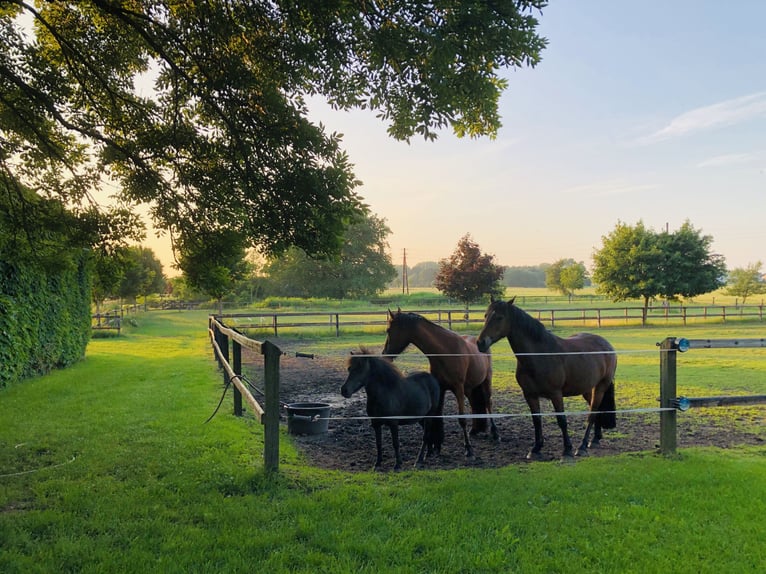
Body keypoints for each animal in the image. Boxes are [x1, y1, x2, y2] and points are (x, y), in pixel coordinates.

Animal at [382, 309, 499, 458]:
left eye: (388, 330)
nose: (385, 354)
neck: (446, 351)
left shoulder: (458, 388)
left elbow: (462, 419)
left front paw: (468, 449)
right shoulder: (441, 388)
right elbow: (436, 417)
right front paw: (435, 447)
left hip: (485, 381)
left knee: (488, 403)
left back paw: (495, 434)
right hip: (470, 388)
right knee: (475, 403)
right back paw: (474, 430)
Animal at [476, 297, 617, 460]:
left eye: (499, 317)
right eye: (485, 316)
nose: (480, 343)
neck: (539, 355)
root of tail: (607, 345)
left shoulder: (556, 394)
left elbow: (562, 421)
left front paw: (567, 450)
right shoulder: (530, 395)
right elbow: (537, 421)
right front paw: (536, 449)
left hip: (600, 387)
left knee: (592, 412)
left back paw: (582, 446)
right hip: (587, 389)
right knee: (596, 411)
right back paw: (594, 440)